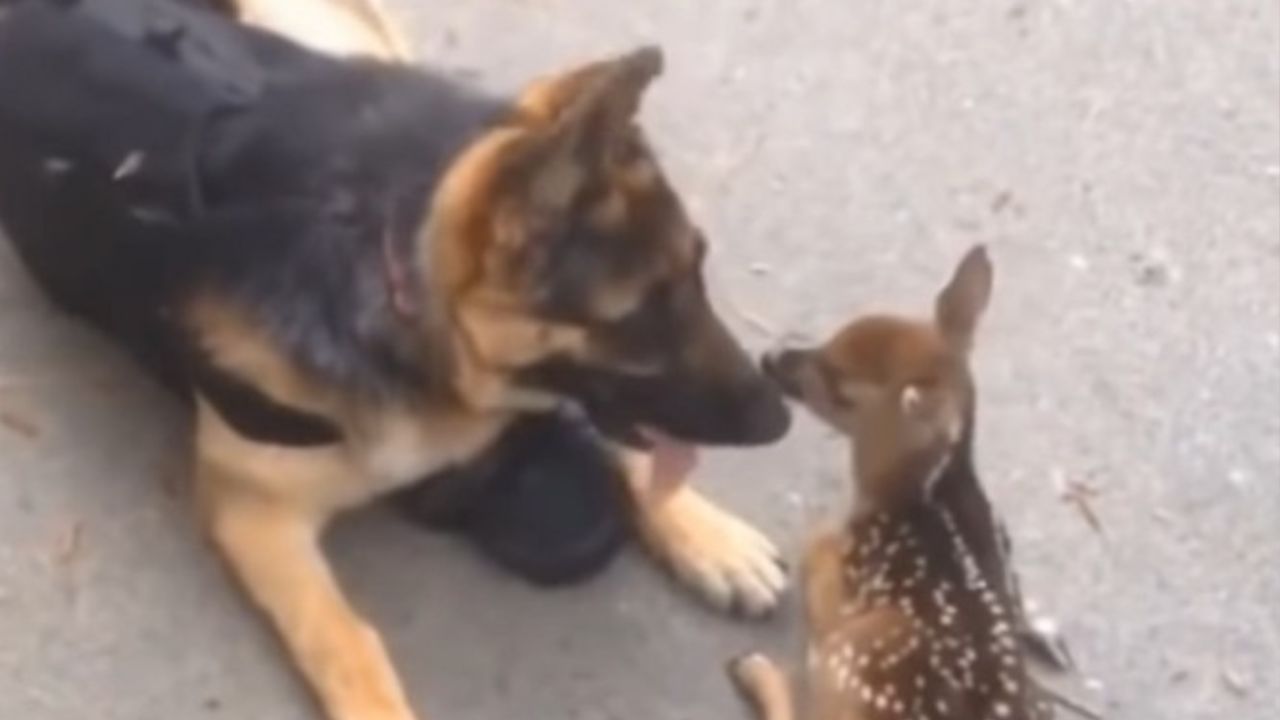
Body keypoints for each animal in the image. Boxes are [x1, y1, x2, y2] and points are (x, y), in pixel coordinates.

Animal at [0, 2, 793, 712]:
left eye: (697, 273)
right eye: (639, 315)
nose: (781, 419)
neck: (383, 264)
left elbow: (613, 433)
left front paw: (709, 536)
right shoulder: (254, 513)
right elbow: (349, 646)